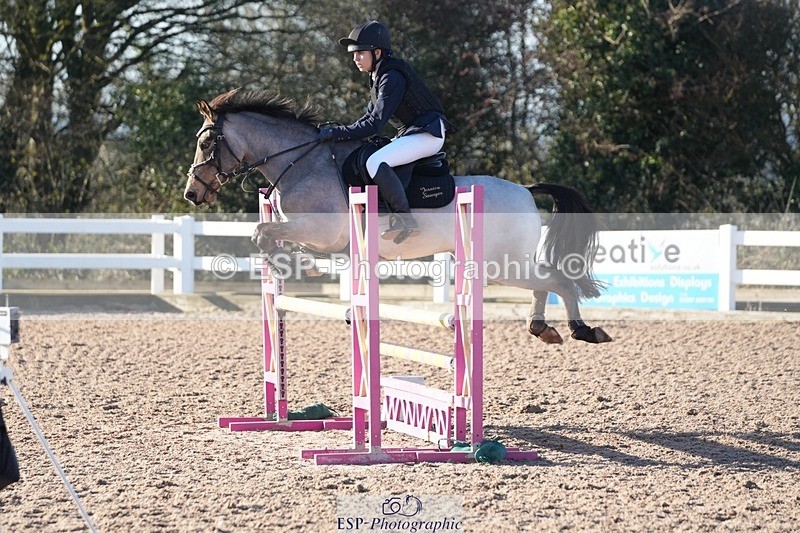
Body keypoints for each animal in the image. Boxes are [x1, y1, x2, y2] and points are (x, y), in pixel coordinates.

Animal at [184, 88, 612, 344]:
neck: (300, 161)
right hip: (505, 263)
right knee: (545, 282)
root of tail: (525, 189)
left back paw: (584, 330)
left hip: (501, 264)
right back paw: (542, 327)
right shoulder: (312, 232)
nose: (191, 194)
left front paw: (299, 266)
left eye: (205, 143)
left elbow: (262, 232)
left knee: (557, 281)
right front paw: (297, 265)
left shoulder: (321, 230)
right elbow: (268, 235)